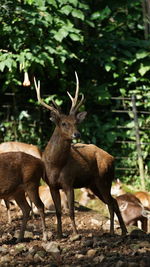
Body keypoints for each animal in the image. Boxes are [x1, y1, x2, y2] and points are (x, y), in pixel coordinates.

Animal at [33, 73, 126, 239]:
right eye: (63, 123)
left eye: (76, 122)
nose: (77, 134)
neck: (55, 164)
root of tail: (112, 158)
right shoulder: (52, 185)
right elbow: (58, 211)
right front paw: (59, 234)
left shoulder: (69, 182)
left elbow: (70, 211)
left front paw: (75, 234)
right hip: (94, 184)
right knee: (113, 201)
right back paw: (122, 231)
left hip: (104, 178)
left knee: (111, 202)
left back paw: (114, 231)